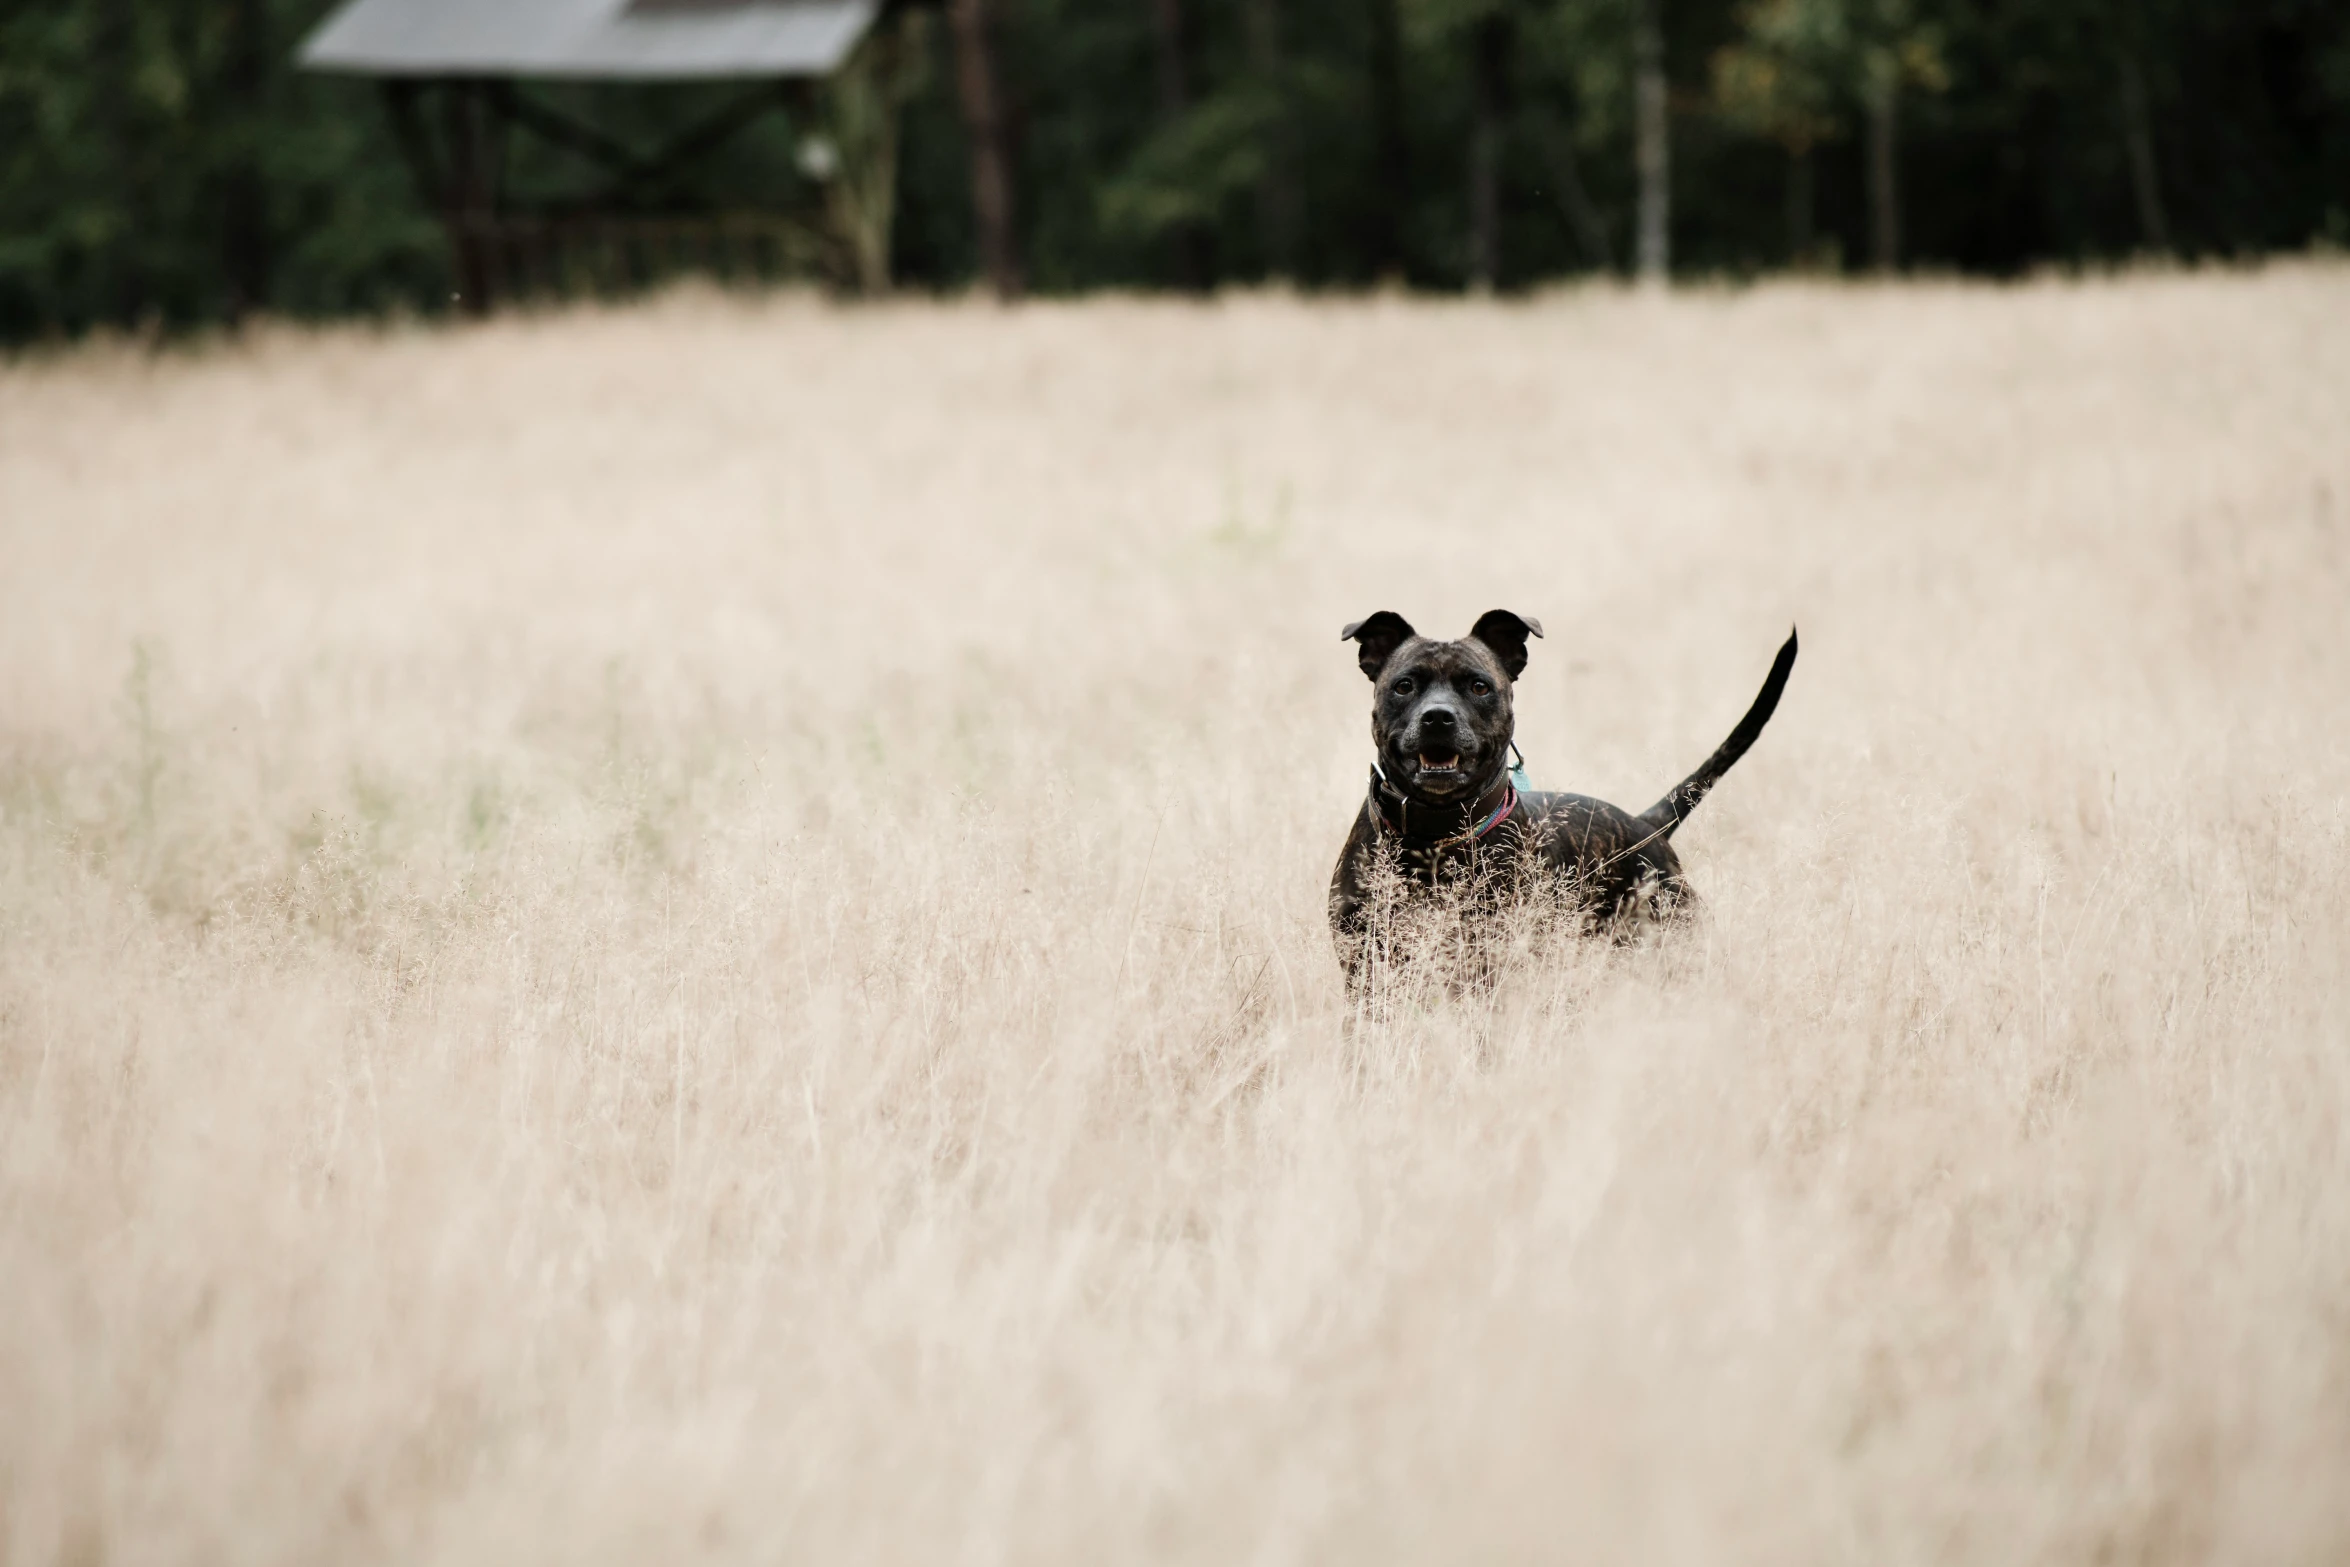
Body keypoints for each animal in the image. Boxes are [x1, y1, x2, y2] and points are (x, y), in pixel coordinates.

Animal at [1325, 610, 1795, 982]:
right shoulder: (1365, 968)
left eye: (1479, 686)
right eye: (1404, 685)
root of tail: (1646, 826)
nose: (1438, 717)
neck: (1435, 834)